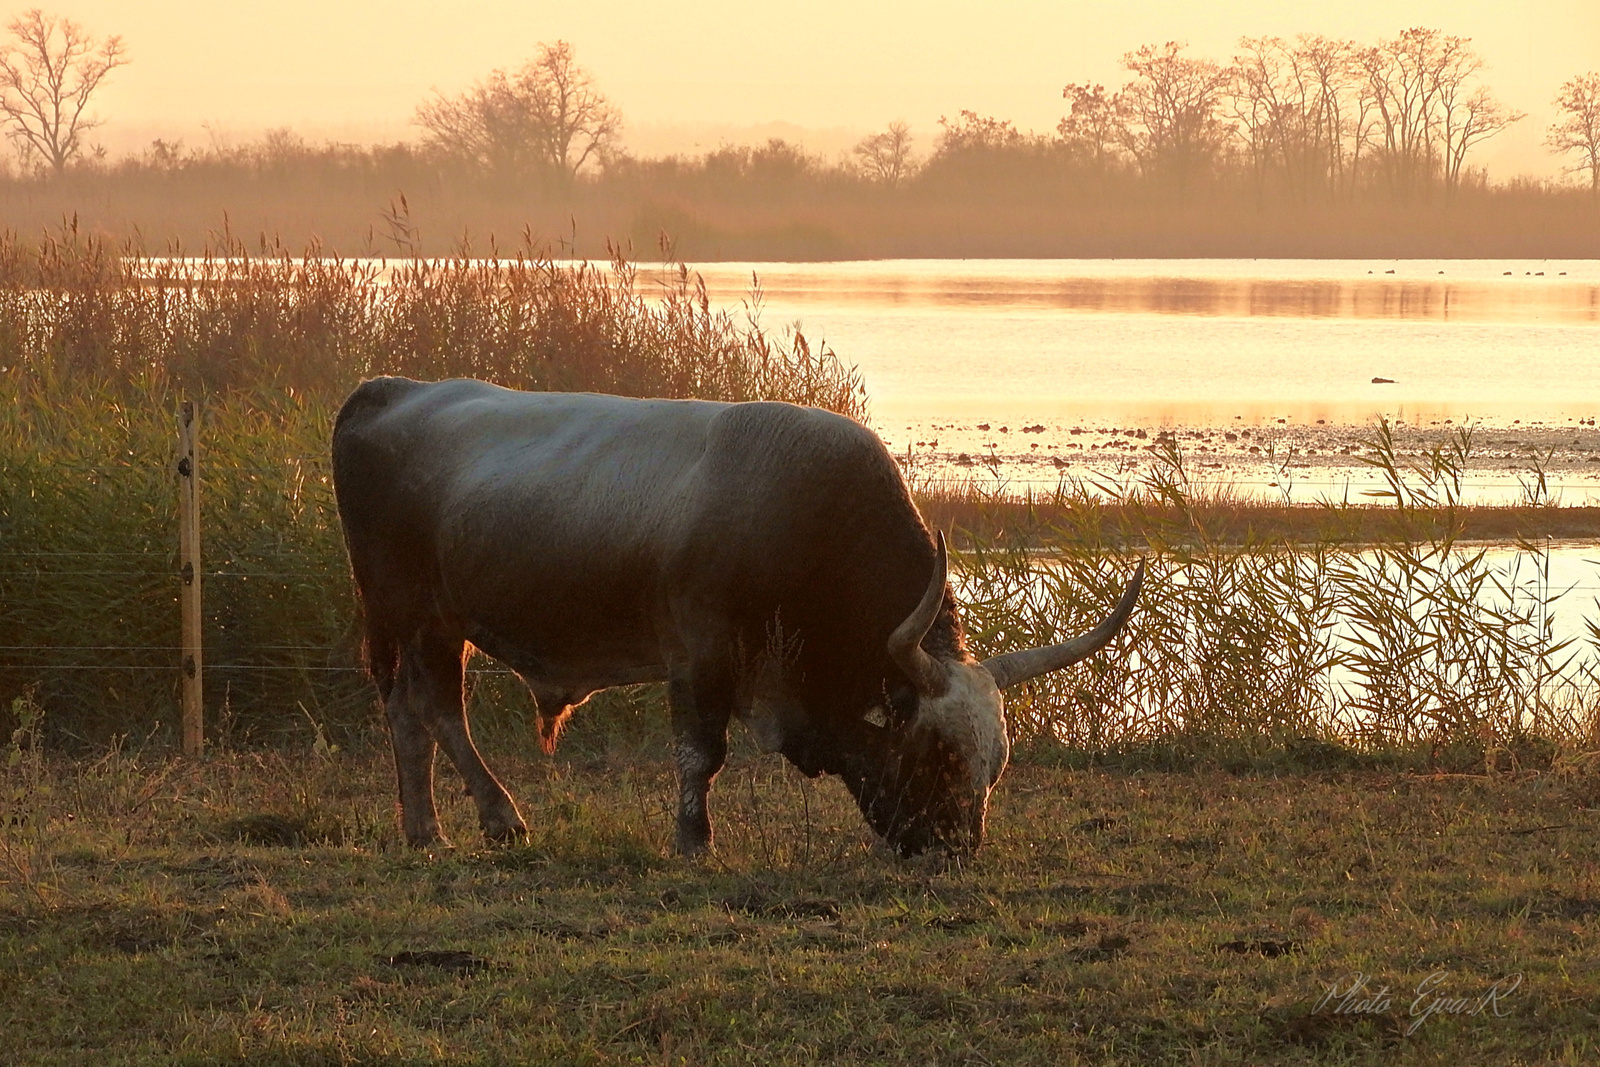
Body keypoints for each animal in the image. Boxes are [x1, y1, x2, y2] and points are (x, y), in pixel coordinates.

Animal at [334, 379, 1139, 857]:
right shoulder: (702, 656)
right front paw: (694, 839)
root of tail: (392, 391)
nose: (952, 850)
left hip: (425, 627)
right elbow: (701, 754)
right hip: (416, 617)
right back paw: (491, 819)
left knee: (409, 713)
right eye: (936, 753)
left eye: (995, 764)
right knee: (436, 714)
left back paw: (423, 829)